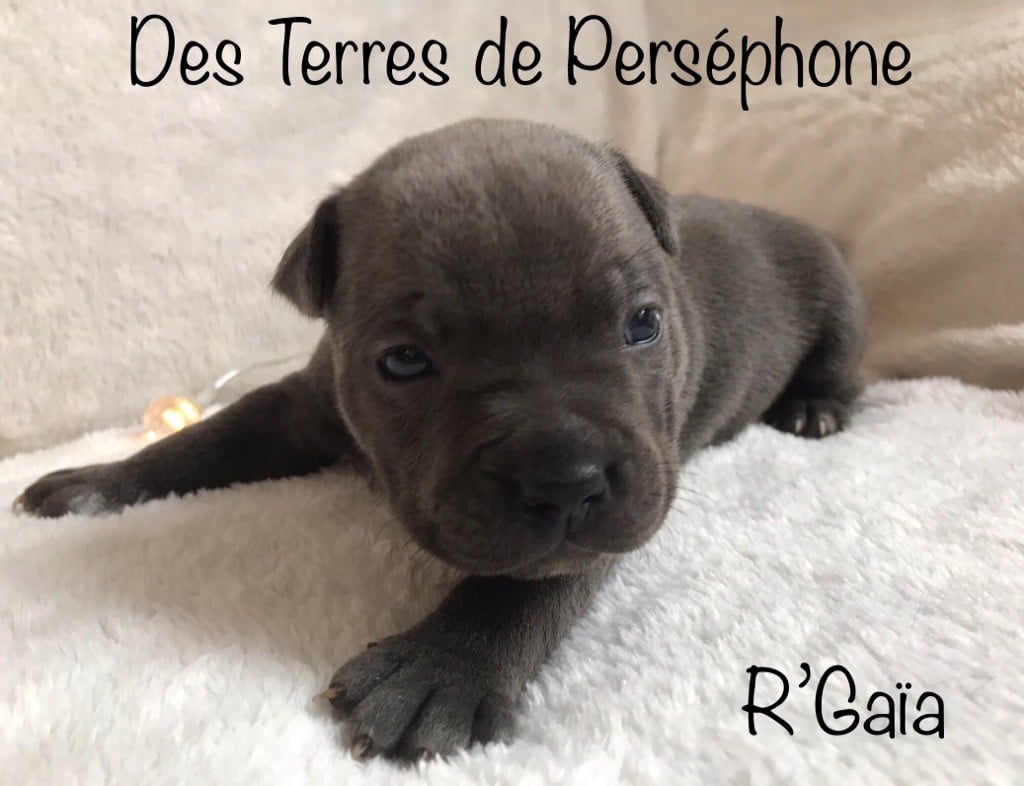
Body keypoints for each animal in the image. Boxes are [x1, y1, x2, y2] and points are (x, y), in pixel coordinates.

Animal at [14, 118, 865, 761]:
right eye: (403, 361)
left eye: (644, 324)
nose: (565, 480)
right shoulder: (300, 405)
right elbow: (206, 440)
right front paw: (96, 482)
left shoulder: (615, 505)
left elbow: (520, 585)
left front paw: (440, 671)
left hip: (837, 290)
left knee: (842, 358)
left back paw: (814, 407)